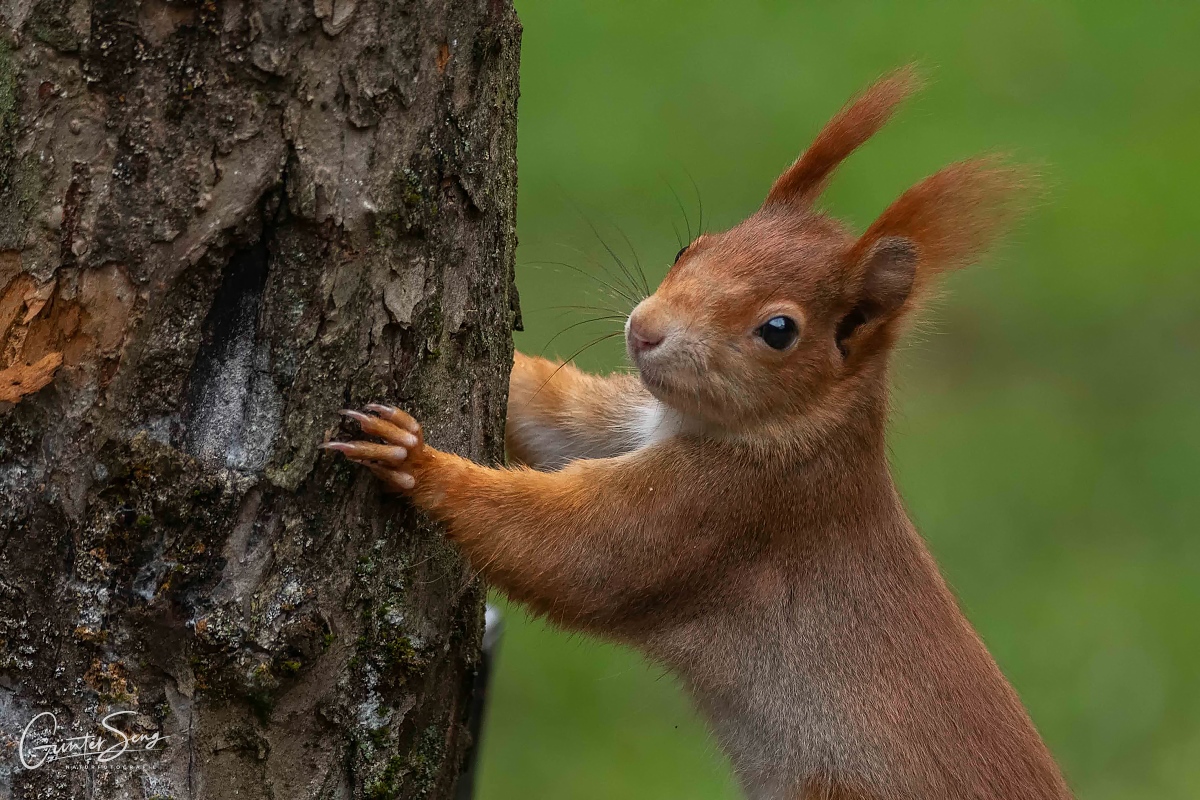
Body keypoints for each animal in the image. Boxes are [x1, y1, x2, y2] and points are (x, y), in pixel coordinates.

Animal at [324, 70, 1075, 800]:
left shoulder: (729, 514)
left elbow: (579, 555)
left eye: (780, 330)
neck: (797, 434)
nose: (644, 329)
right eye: (692, 247)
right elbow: (559, 420)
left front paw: (413, 458)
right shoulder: (634, 423)